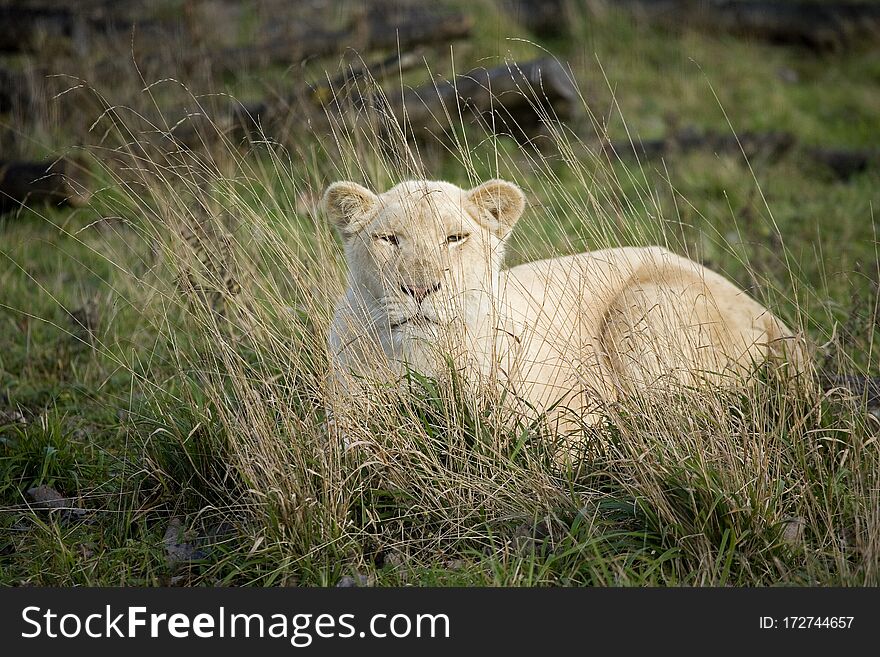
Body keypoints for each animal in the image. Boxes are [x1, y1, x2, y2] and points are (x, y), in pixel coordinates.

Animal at [324, 179, 804, 436]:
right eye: (389, 239)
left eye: (455, 238)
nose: (421, 288)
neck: (423, 361)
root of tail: (768, 314)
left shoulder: (573, 414)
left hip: (641, 309)